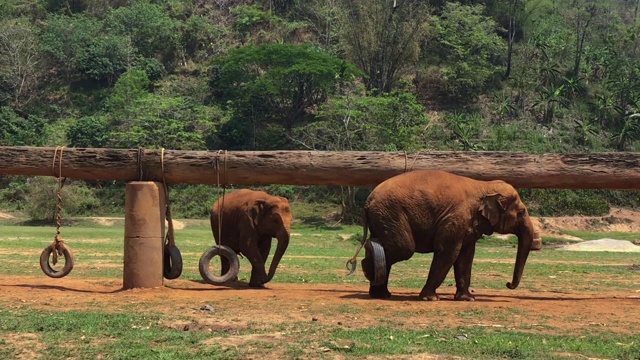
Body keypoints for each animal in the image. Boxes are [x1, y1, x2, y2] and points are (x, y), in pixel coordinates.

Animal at [362, 170, 536, 300]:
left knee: (386, 245)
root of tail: (367, 201)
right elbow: (448, 252)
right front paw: (430, 298)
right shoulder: (456, 218)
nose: (508, 284)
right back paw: (367, 269)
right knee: (403, 249)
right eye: (521, 212)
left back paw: (381, 294)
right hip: (391, 214)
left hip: (383, 217)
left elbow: (466, 255)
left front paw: (467, 299)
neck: (484, 185)